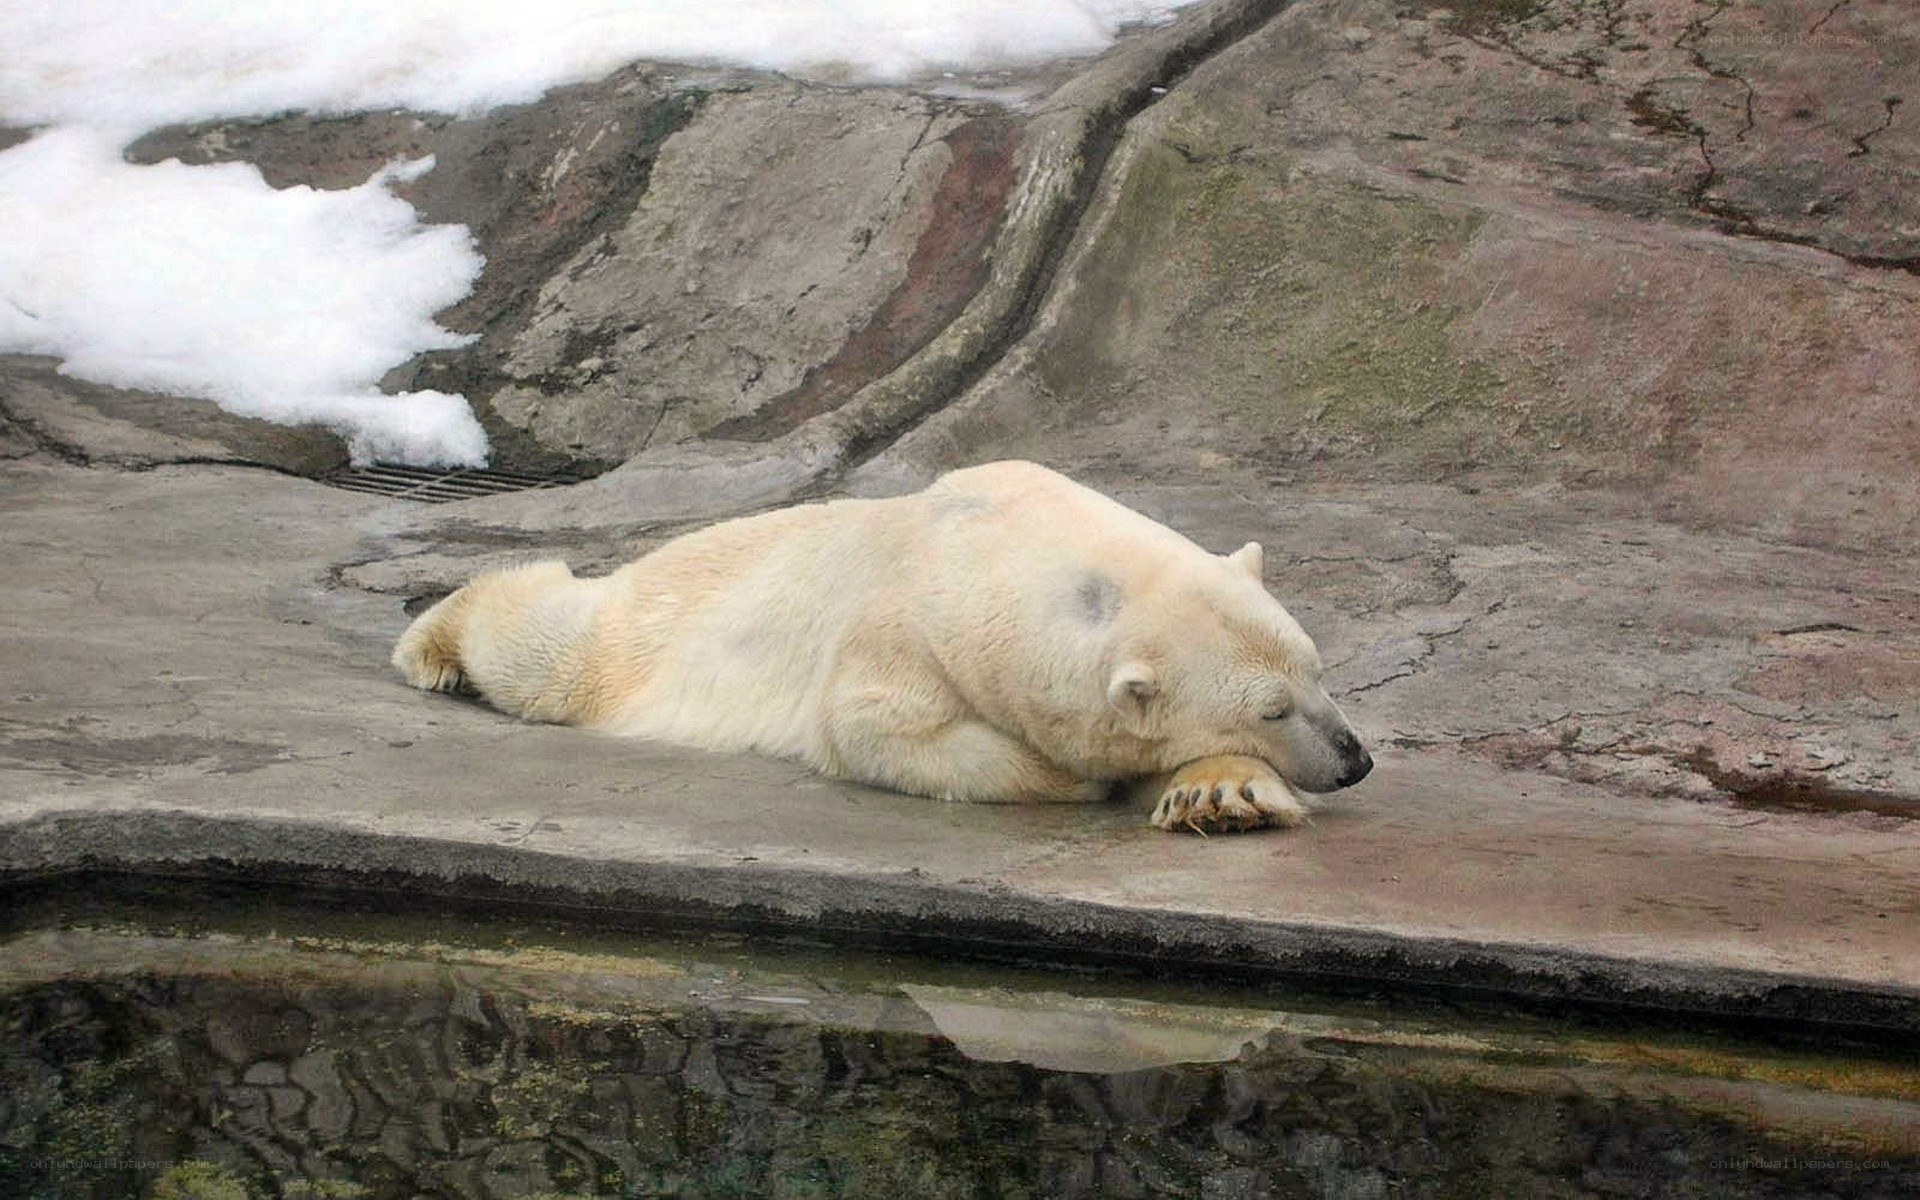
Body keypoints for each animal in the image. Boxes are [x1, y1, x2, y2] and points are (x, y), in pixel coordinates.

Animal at [393, 460, 1371, 832]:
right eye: (1272, 709)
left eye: (1318, 673)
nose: (1355, 758)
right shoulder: (902, 628)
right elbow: (871, 728)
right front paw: (1075, 777)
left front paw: (1221, 795)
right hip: (650, 624)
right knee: (548, 649)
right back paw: (431, 649)